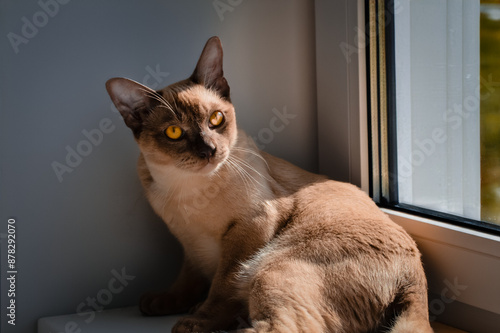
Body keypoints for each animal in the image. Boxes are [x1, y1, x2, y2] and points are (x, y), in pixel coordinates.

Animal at [106, 36, 434, 332]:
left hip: (271, 268)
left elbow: (221, 287)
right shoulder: (190, 244)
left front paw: (199, 319)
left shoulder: (249, 228)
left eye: (216, 119)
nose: (209, 150)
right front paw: (163, 302)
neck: (186, 192)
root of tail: (416, 280)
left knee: (287, 326)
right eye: (174, 132)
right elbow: (188, 279)